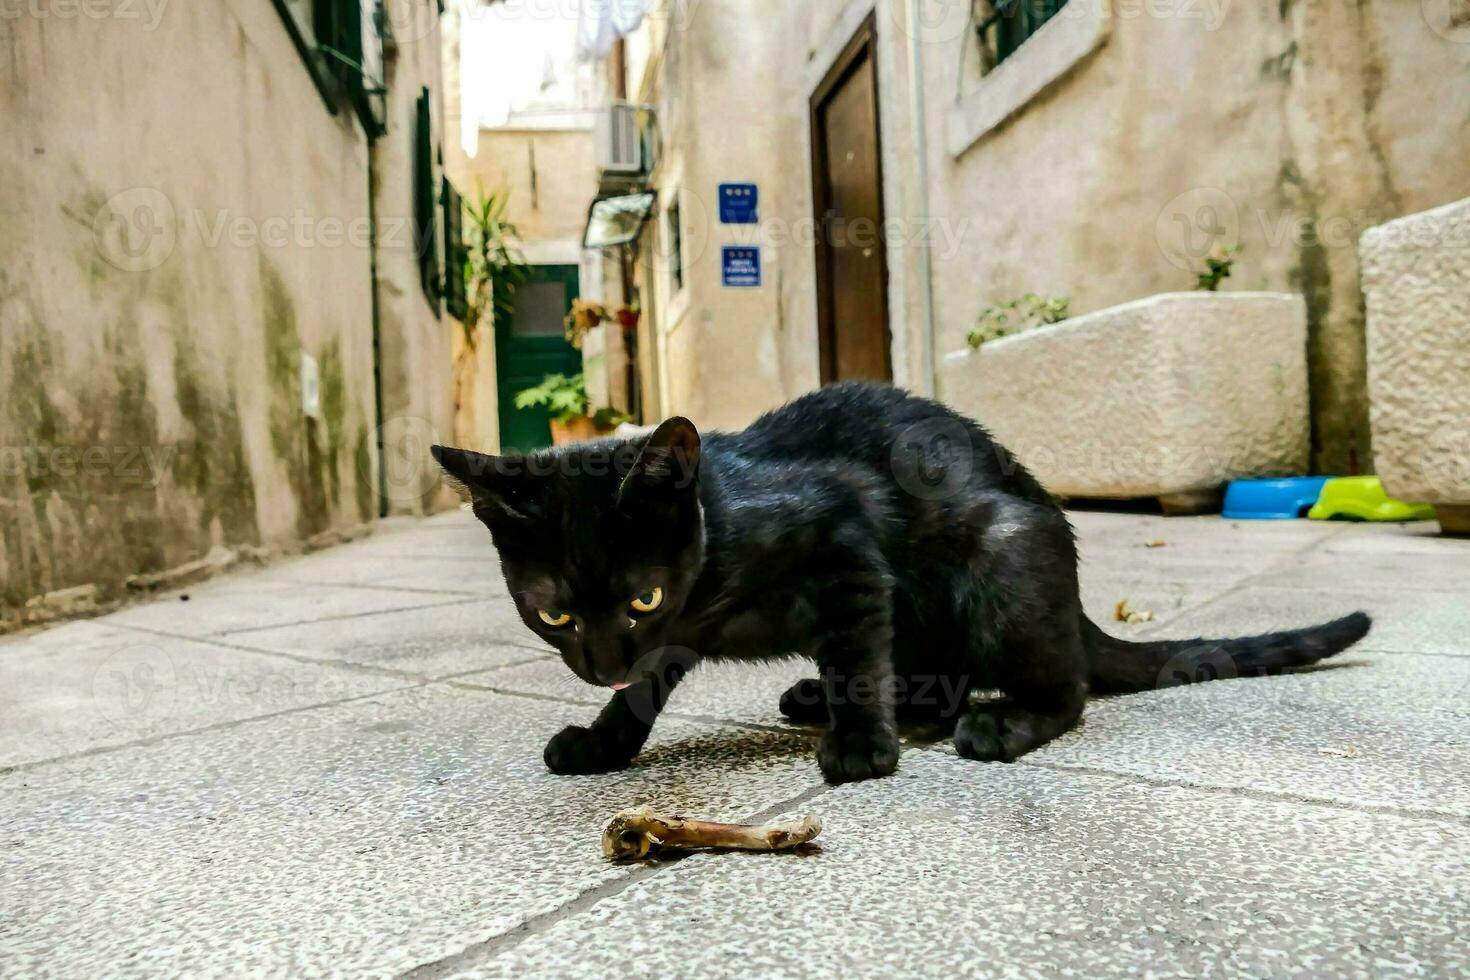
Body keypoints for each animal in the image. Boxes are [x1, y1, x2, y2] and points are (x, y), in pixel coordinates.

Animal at [429, 379, 1370, 787]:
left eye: (641, 597)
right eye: (552, 614)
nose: (599, 662)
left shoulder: (847, 543)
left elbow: (856, 657)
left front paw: (858, 747)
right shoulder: (670, 641)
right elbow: (645, 691)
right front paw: (602, 739)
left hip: (999, 550)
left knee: (1062, 692)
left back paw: (997, 722)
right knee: (931, 675)